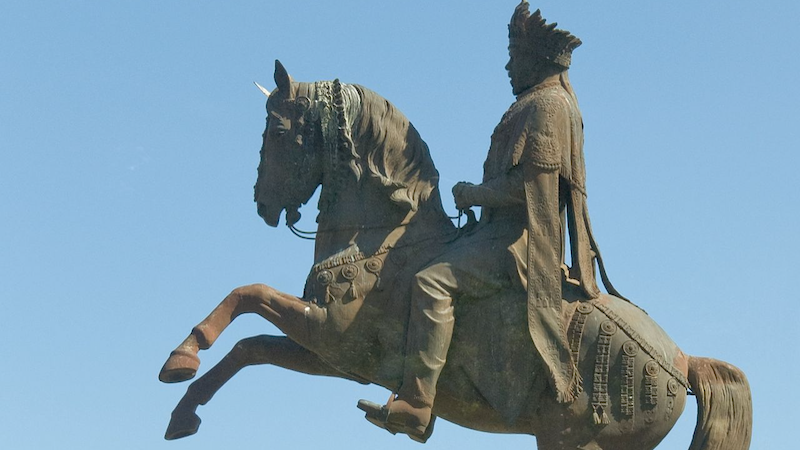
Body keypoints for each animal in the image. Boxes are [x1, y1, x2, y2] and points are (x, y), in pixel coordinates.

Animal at [159, 60, 752, 450]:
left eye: (278, 131)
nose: (262, 203)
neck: (385, 240)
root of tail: (681, 361)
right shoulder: (335, 356)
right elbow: (251, 345)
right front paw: (183, 409)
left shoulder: (332, 334)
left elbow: (249, 295)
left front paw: (181, 358)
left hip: (573, 441)